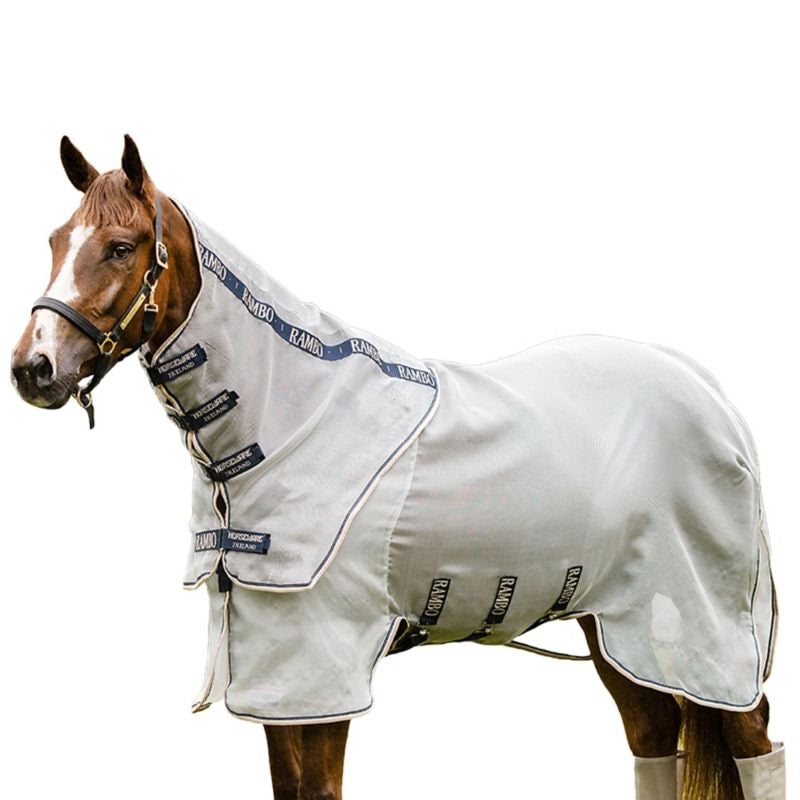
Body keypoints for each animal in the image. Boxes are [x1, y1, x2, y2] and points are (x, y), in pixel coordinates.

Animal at [11, 136, 784, 800]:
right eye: (54, 241)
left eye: (120, 247)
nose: (33, 367)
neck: (291, 415)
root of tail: (711, 395)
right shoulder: (273, 673)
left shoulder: (322, 668)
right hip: (617, 623)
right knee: (655, 736)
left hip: (706, 625)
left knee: (752, 739)